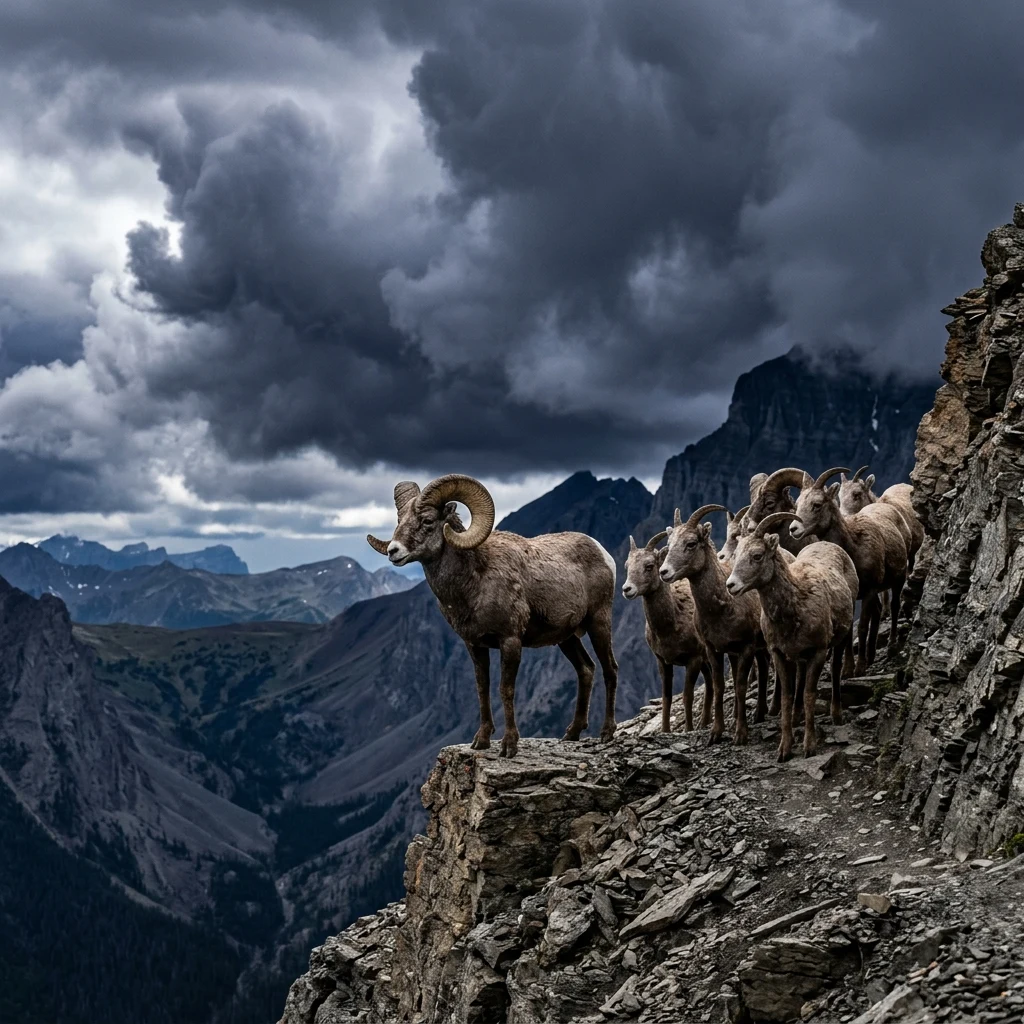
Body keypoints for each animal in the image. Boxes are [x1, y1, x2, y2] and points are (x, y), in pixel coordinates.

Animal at [367, 474, 618, 758]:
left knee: (610, 669)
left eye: (428, 521)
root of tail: (602, 553)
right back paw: (572, 733)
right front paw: (482, 740)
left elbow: (505, 690)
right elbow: (482, 688)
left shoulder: (510, 642)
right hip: (567, 638)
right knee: (586, 670)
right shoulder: (475, 645)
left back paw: (607, 732)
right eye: (400, 520)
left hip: (599, 623)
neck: (474, 582)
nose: (394, 551)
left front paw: (509, 745)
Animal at [622, 532, 712, 733]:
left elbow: (687, 696)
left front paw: (687, 729)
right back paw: (704, 723)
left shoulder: (693, 660)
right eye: (627, 566)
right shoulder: (662, 661)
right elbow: (667, 698)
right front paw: (664, 730)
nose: (627, 589)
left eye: (649, 566)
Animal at [659, 504, 772, 745]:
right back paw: (758, 714)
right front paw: (716, 733)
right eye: (669, 543)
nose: (664, 572)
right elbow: (720, 686)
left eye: (691, 543)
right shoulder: (715, 650)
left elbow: (740, 686)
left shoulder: (746, 647)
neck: (723, 606)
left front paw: (740, 735)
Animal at [725, 513, 858, 760]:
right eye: (736, 555)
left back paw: (836, 715)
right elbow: (787, 697)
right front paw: (784, 749)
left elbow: (808, 694)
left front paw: (809, 747)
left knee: (836, 670)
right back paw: (797, 719)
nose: (731, 585)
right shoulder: (779, 653)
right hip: (800, 657)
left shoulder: (818, 651)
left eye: (757, 555)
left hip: (840, 639)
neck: (796, 603)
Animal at [787, 467, 909, 674]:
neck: (854, 547)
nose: (793, 529)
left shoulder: (869, 591)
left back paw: (891, 646)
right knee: (877, 613)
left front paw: (859, 669)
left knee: (893, 607)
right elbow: (850, 633)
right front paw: (848, 669)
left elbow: (862, 628)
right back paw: (871, 655)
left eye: (817, 504)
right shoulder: (852, 597)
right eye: (798, 504)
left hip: (899, 579)